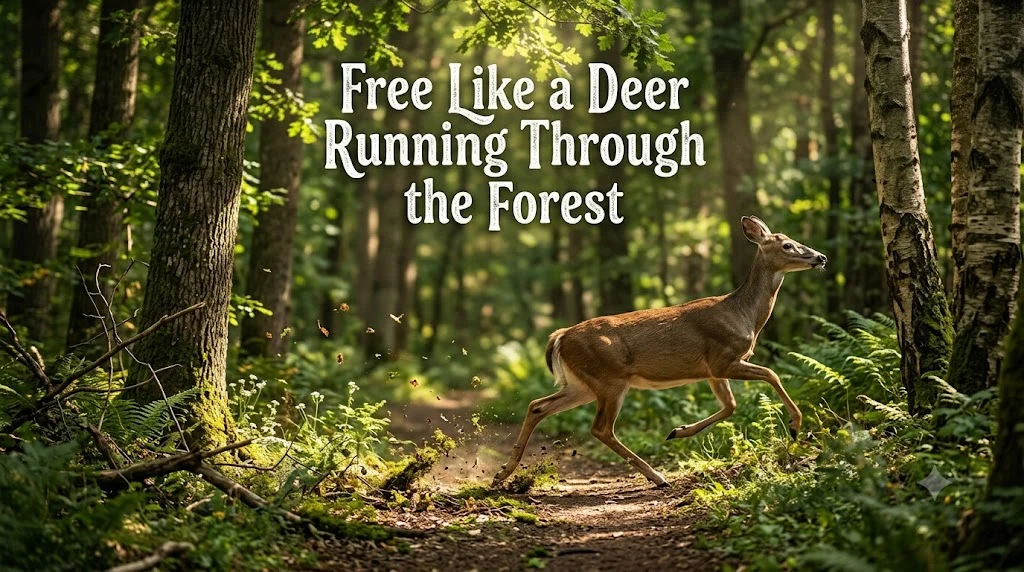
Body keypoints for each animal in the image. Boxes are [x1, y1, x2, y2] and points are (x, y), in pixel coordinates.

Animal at [492, 216, 827, 488]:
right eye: (787, 245)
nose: (821, 256)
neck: (744, 315)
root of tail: (559, 336)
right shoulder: (724, 358)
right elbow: (771, 374)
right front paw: (796, 426)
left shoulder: (712, 370)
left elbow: (730, 406)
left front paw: (678, 430)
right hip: (610, 378)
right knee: (600, 428)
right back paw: (657, 476)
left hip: (583, 384)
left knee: (538, 405)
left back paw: (503, 473)